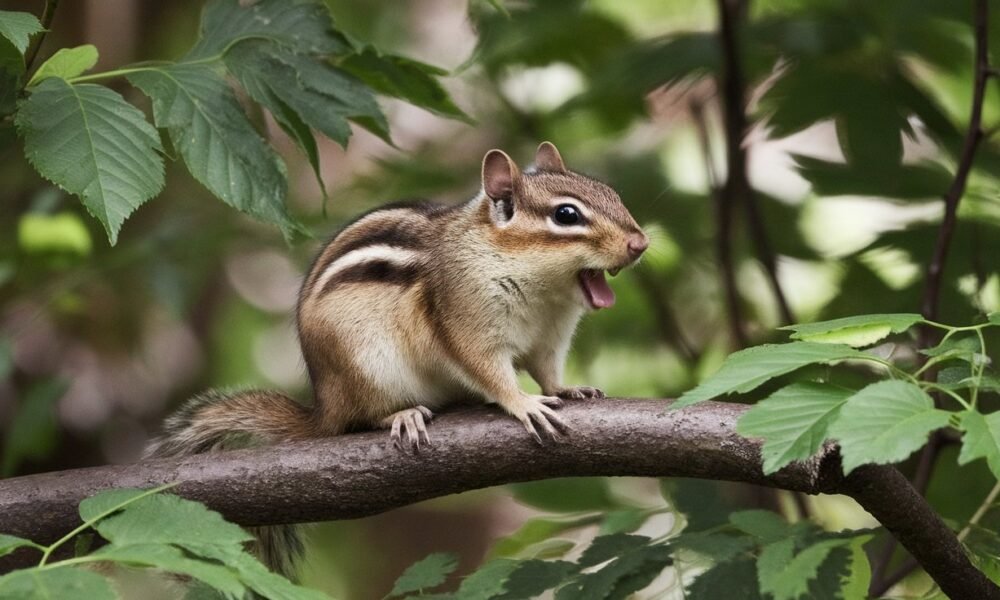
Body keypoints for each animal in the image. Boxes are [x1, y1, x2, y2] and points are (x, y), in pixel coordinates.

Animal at [144, 142, 648, 579]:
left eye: (612, 193)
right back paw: (401, 415)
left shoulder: (551, 338)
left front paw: (566, 389)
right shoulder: (467, 320)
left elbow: (547, 370)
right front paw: (523, 404)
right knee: (361, 419)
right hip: (369, 366)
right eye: (566, 215)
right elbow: (488, 370)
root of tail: (324, 407)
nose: (640, 244)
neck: (542, 291)